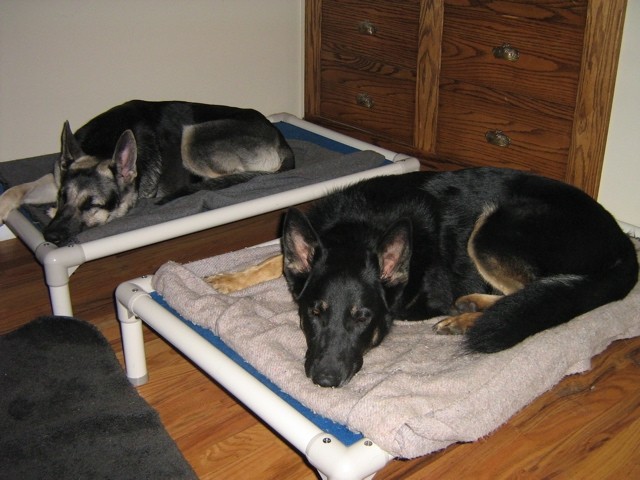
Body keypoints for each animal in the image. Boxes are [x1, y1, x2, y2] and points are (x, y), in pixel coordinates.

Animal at [0, 100, 296, 244]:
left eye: (92, 205)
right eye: (63, 196)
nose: (49, 237)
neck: (102, 145)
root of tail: (281, 138)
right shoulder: (54, 178)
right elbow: (16, 189)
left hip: (192, 136)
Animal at [208, 169, 636, 386]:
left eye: (362, 318)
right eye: (314, 312)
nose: (325, 380)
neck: (362, 227)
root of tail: (623, 241)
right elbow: (275, 257)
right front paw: (230, 278)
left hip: (493, 228)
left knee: (541, 288)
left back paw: (468, 316)